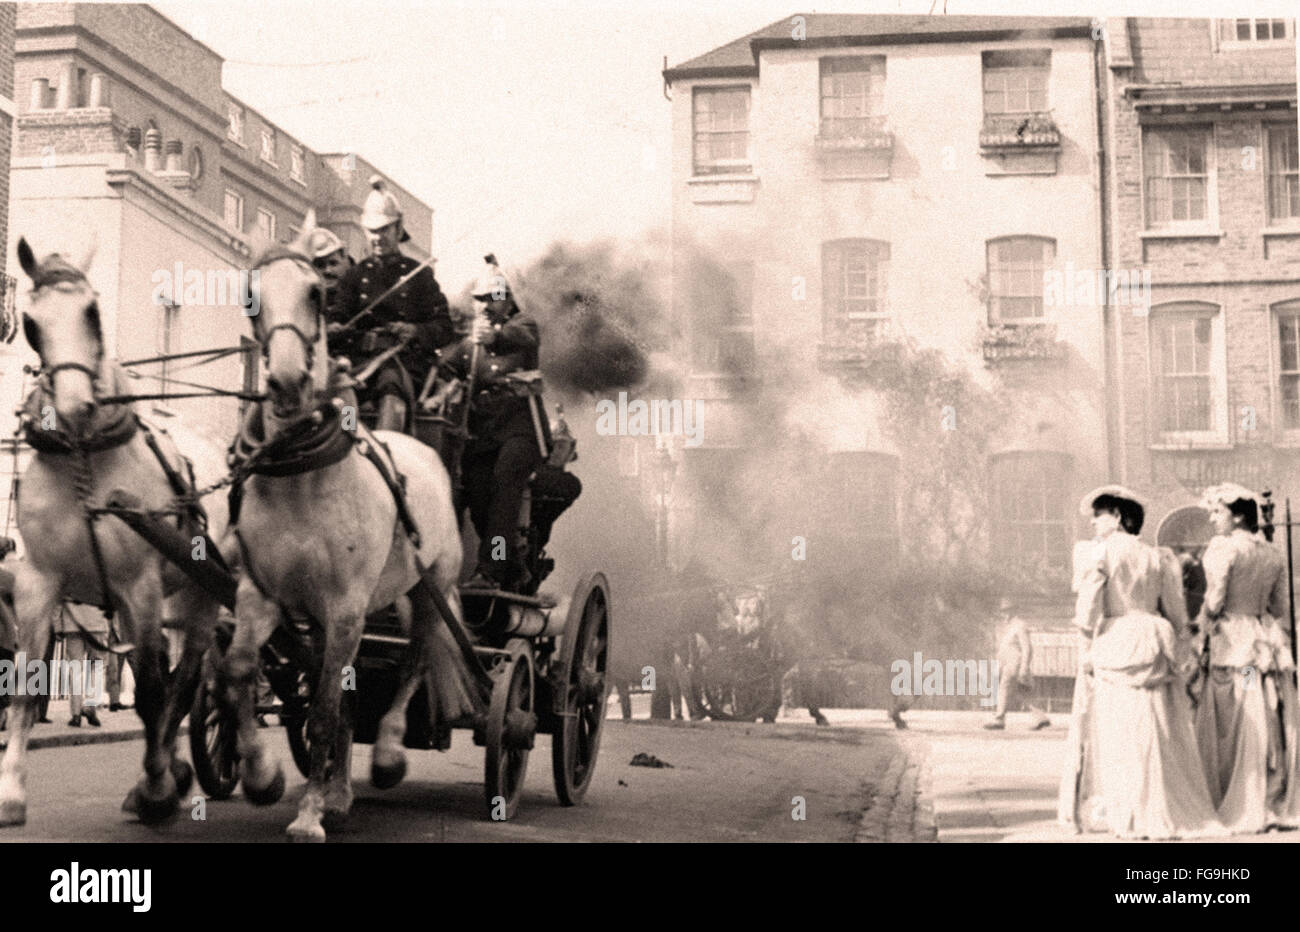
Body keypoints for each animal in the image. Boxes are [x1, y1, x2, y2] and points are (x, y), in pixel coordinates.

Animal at [0, 237, 228, 821]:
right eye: (31, 323)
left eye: (92, 312)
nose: (75, 406)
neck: (85, 457)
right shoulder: (38, 582)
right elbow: (26, 683)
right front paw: (12, 789)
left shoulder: (139, 585)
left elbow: (149, 691)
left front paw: (157, 785)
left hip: (199, 595)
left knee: (184, 680)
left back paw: (166, 772)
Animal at [218, 218, 478, 842]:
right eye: (250, 295)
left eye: (315, 293)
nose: (288, 381)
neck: (301, 471)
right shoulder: (263, 594)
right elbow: (240, 672)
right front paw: (263, 776)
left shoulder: (345, 607)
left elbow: (324, 708)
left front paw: (309, 814)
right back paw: (339, 789)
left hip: (429, 588)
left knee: (414, 660)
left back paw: (386, 755)